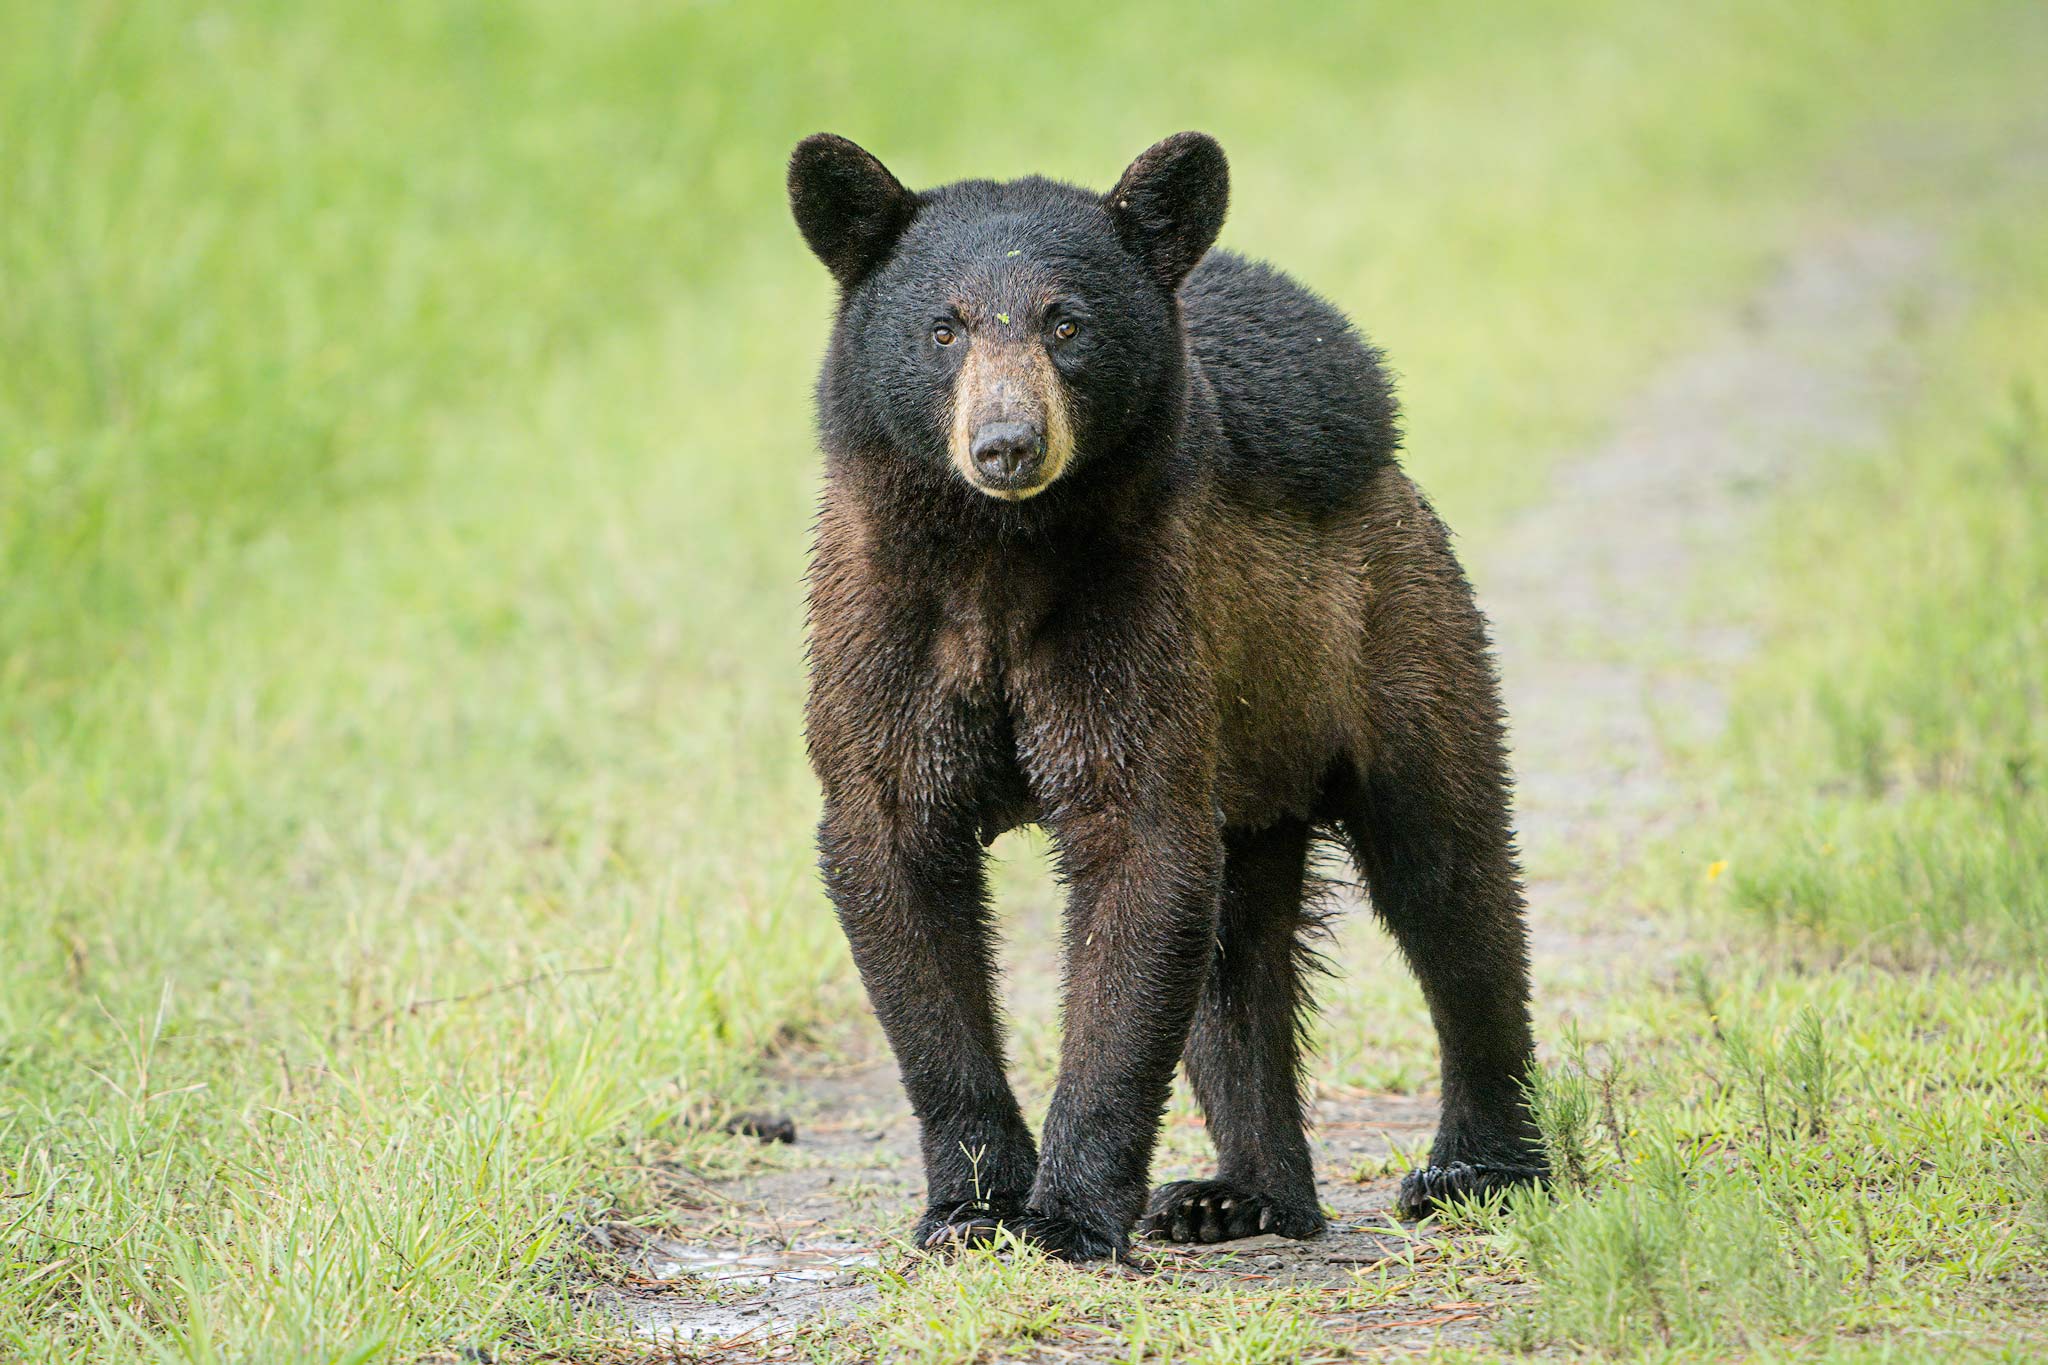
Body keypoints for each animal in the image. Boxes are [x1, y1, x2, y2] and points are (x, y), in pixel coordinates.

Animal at [790, 133, 1540, 1268]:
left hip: (1396, 634)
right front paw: (969, 1205)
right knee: (1239, 959)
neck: (997, 563)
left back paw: (1479, 1164)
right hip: (1256, 753)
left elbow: (1135, 861)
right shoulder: (885, 634)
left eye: (1066, 323)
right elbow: (896, 855)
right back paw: (1241, 1193)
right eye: (943, 327)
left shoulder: (1129, 618)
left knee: (1450, 880)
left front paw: (1065, 1215)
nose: (1006, 443)